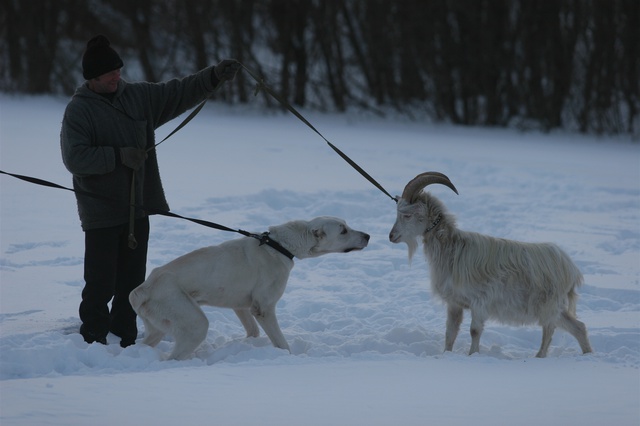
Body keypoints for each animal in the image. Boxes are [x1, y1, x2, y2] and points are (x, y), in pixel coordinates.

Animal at [129, 216, 370, 360]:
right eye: (343, 230)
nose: (368, 235)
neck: (279, 245)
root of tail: (144, 288)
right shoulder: (264, 308)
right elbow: (281, 342)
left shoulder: (242, 307)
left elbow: (253, 331)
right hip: (194, 323)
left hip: (159, 327)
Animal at [390, 171, 596, 358]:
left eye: (407, 215)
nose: (392, 236)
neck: (452, 248)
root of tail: (570, 268)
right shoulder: (455, 303)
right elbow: (450, 332)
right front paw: (446, 354)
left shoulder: (480, 301)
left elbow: (474, 330)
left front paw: (473, 355)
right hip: (555, 306)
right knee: (578, 326)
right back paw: (587, 354)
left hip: (547, 303)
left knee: (549, 329)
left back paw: (540, 356)